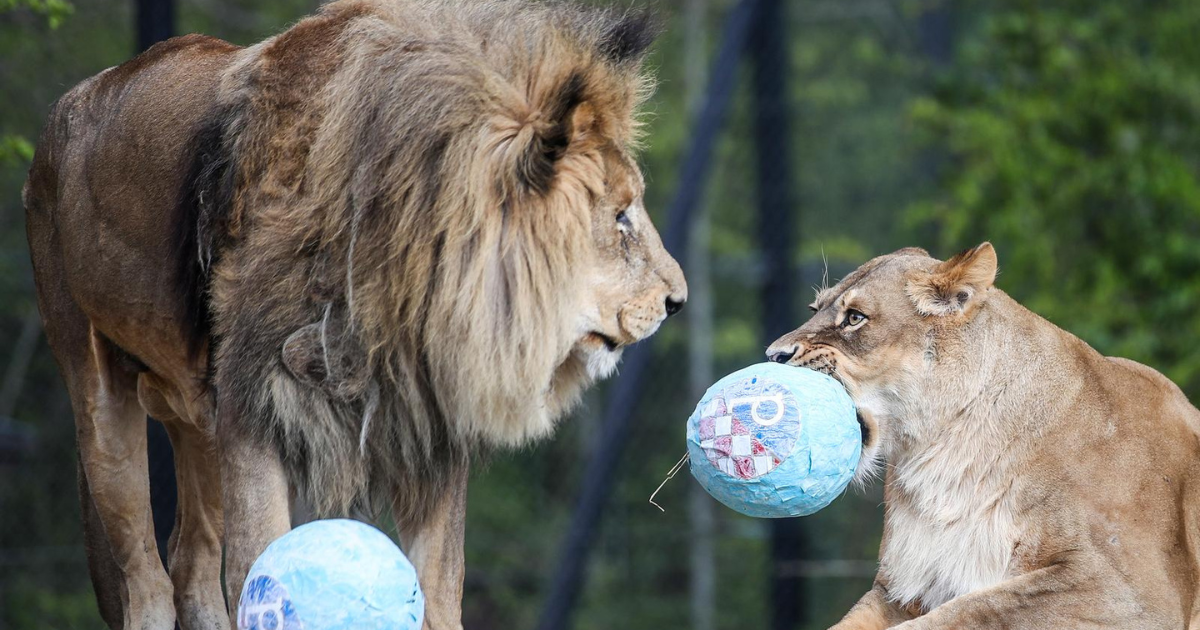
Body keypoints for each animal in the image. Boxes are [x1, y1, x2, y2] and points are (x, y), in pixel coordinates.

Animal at [25, 2, 686, 624]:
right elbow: (258, 561)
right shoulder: (251, 406)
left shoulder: (429, 430)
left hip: (196, 420)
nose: (677, 301)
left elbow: (440, 588)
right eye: (621, 217)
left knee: (190, 563)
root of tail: (66, 106)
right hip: (98, 398)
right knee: (145, 579)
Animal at [768, 243, 1200, 624]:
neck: (944, 452)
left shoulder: (1131, 592)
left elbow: (968, 612)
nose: (773, 355)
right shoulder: (900, 588)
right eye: (814, 310)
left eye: (855, 317)